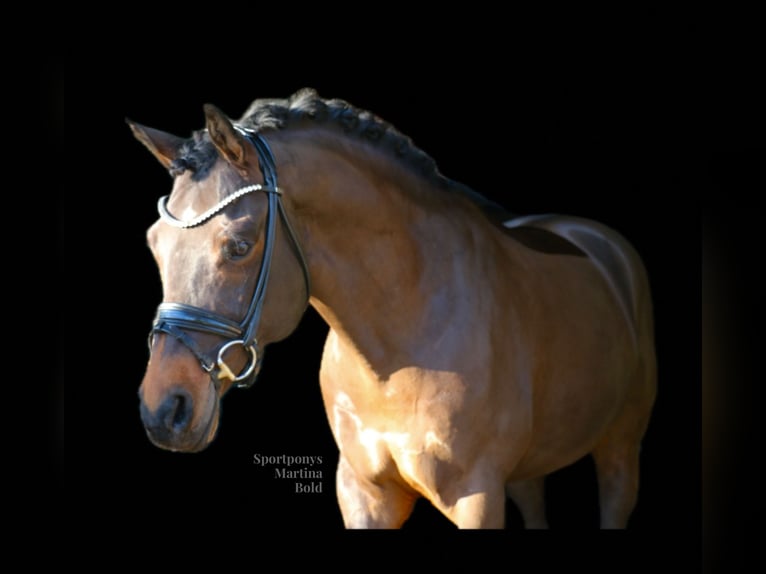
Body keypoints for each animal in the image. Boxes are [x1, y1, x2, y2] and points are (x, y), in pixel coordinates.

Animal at [129, 88, 656, 528]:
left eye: (238, 245)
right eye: (154, 244)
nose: (163, 410)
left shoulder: (477, 496)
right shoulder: (363, 492)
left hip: (619, 451)